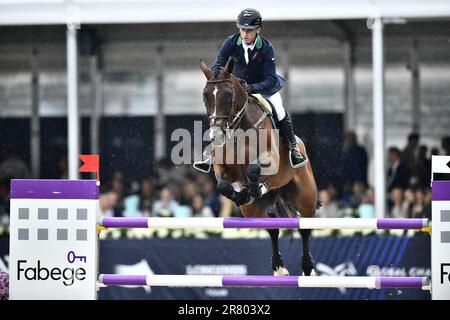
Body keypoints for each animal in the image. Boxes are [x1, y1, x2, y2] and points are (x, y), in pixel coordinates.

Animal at [200, 57, 320, 276]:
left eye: (228, 95)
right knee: (271, 226)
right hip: (253, 211)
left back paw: (308, 268)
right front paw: (241, 195)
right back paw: (279, 267)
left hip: (306, 196)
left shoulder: (270, 160)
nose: (216, 135)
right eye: (205, 95)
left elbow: (254, 169)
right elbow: (223, 185)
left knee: (305, 226)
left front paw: (255, 188)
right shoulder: (222, 168)